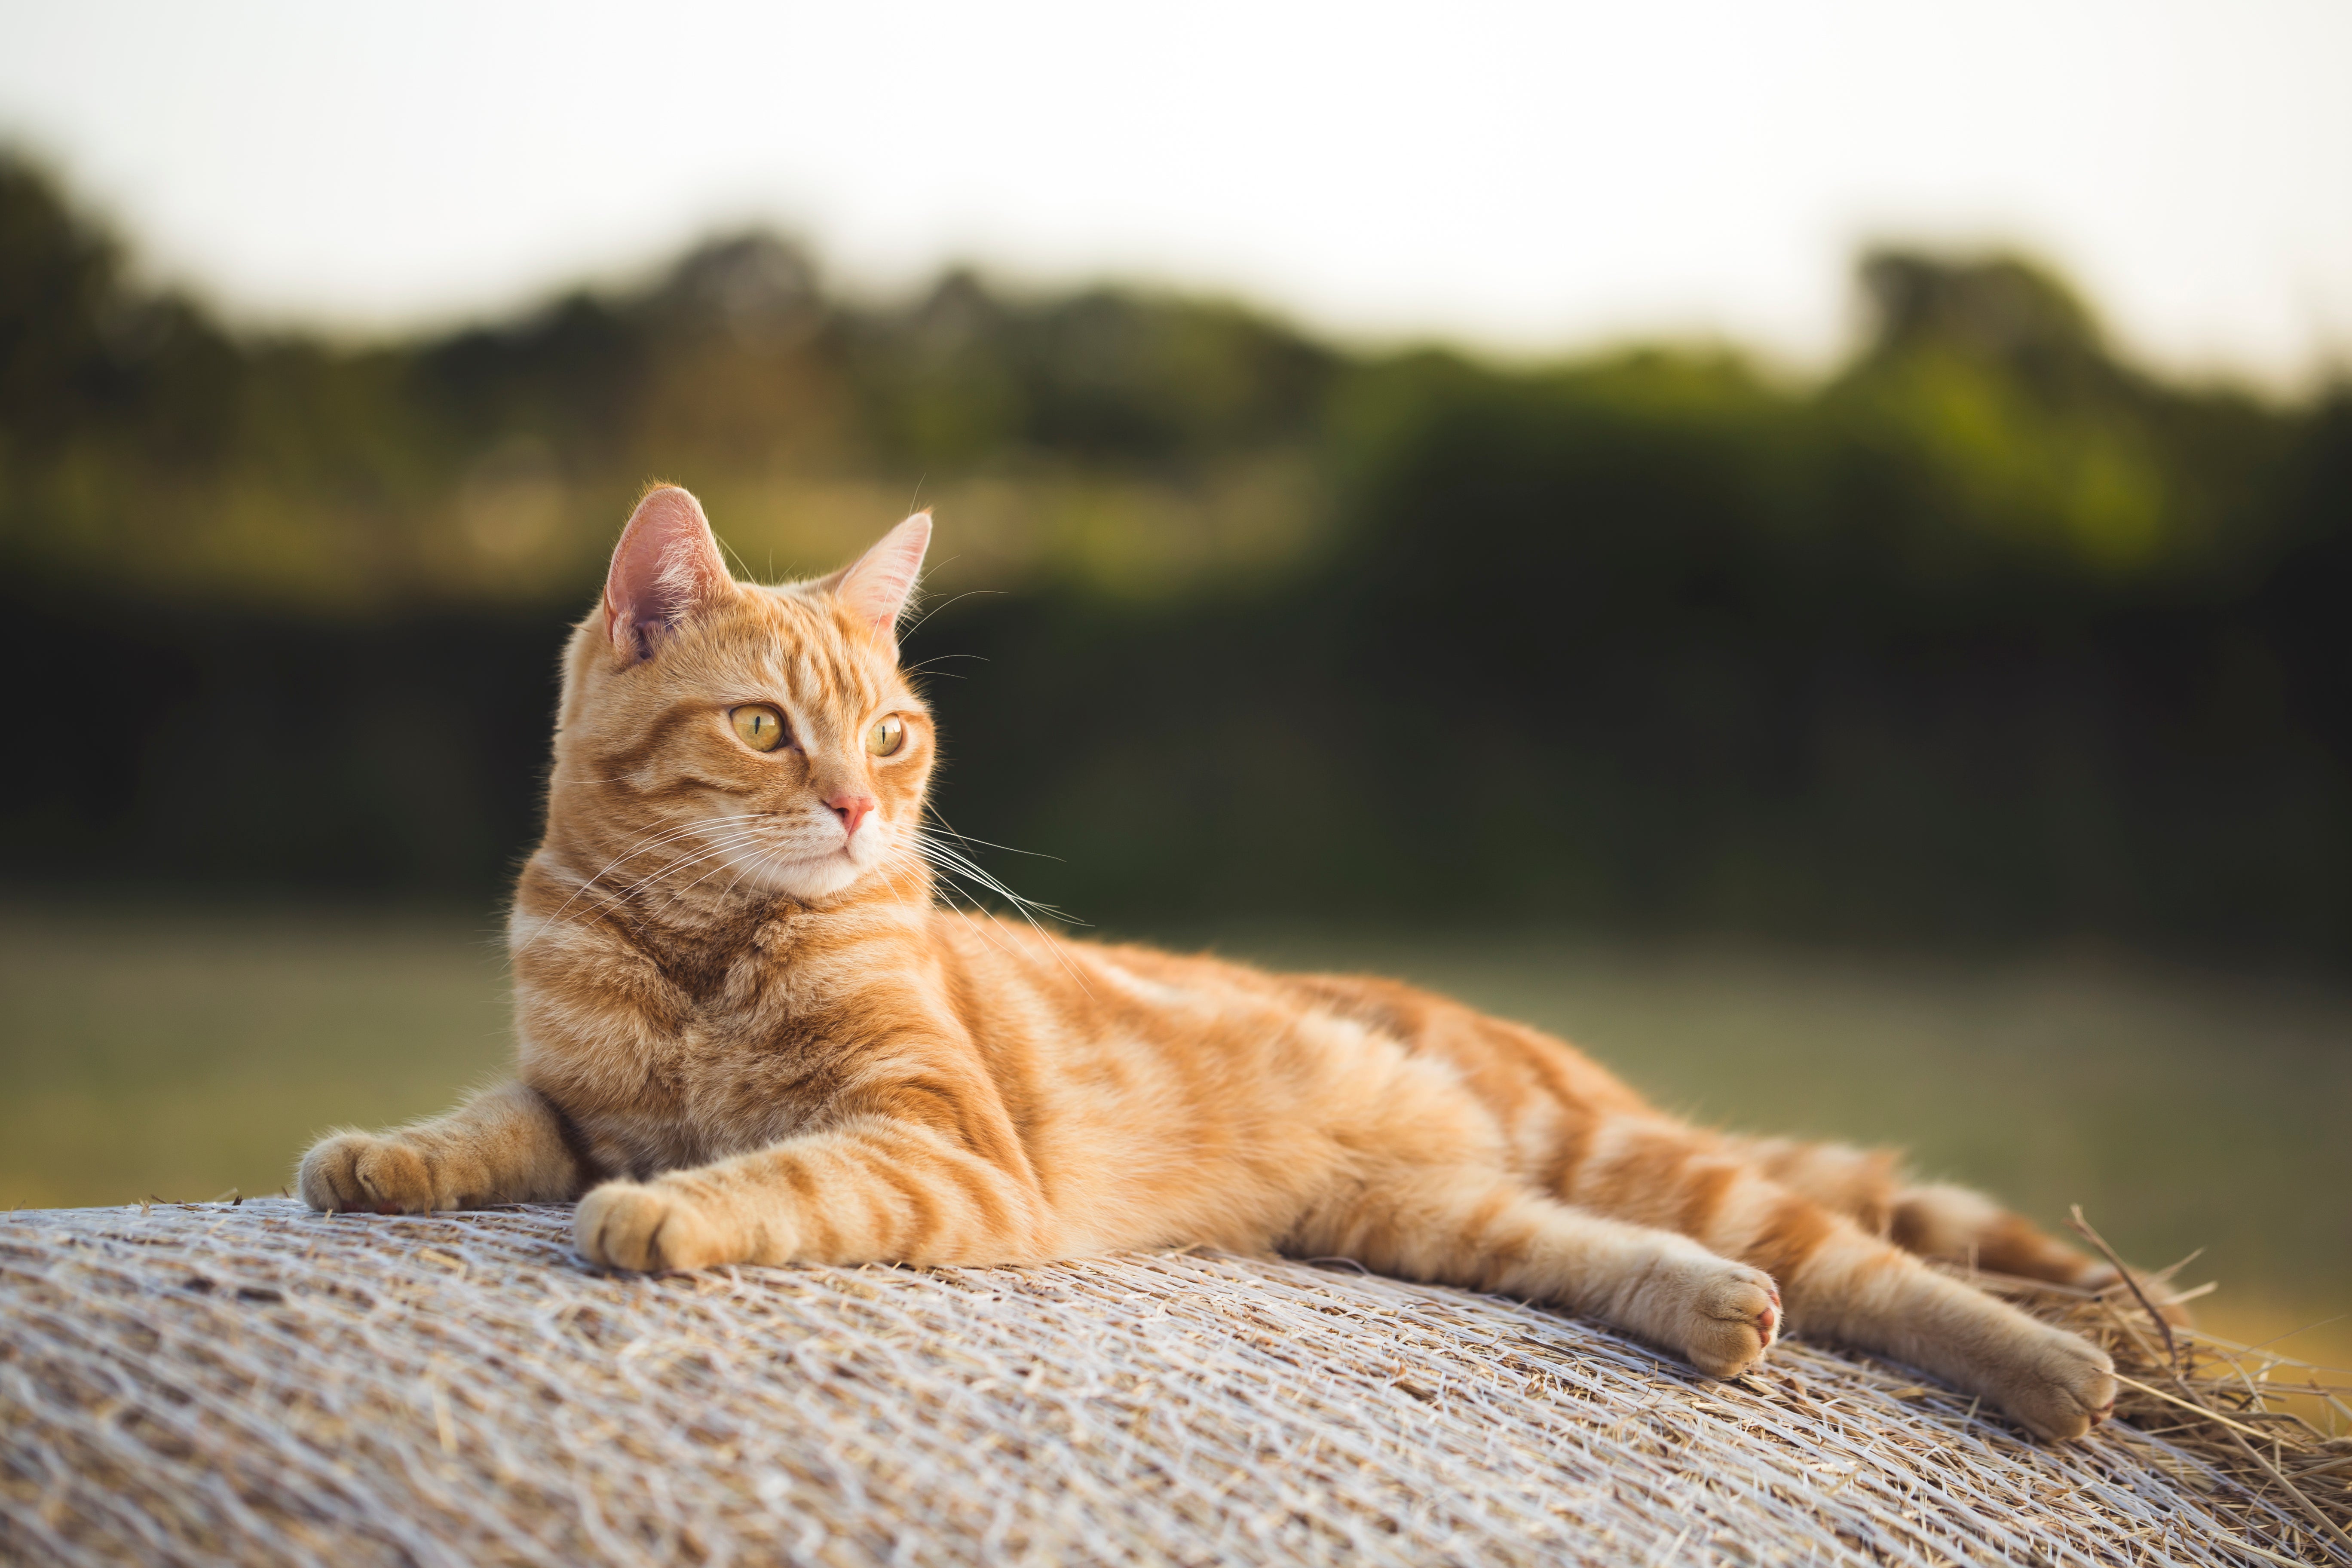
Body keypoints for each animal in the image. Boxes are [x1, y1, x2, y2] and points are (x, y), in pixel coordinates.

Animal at [303, 491, 2126, 1448]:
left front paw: (668, 1213)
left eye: (890, 733)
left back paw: (2058, 1375)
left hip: (1621, 1152)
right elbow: (488, 1122)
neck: (697, 951)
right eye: (763, 728)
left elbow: (783, 1172)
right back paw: (1714, 1314)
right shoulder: (570, 1099)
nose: (855, 807)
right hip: (1434, 1215)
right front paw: (377, 1158)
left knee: (1864, 1261)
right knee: (1637, 1256)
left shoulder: (946, 1147)